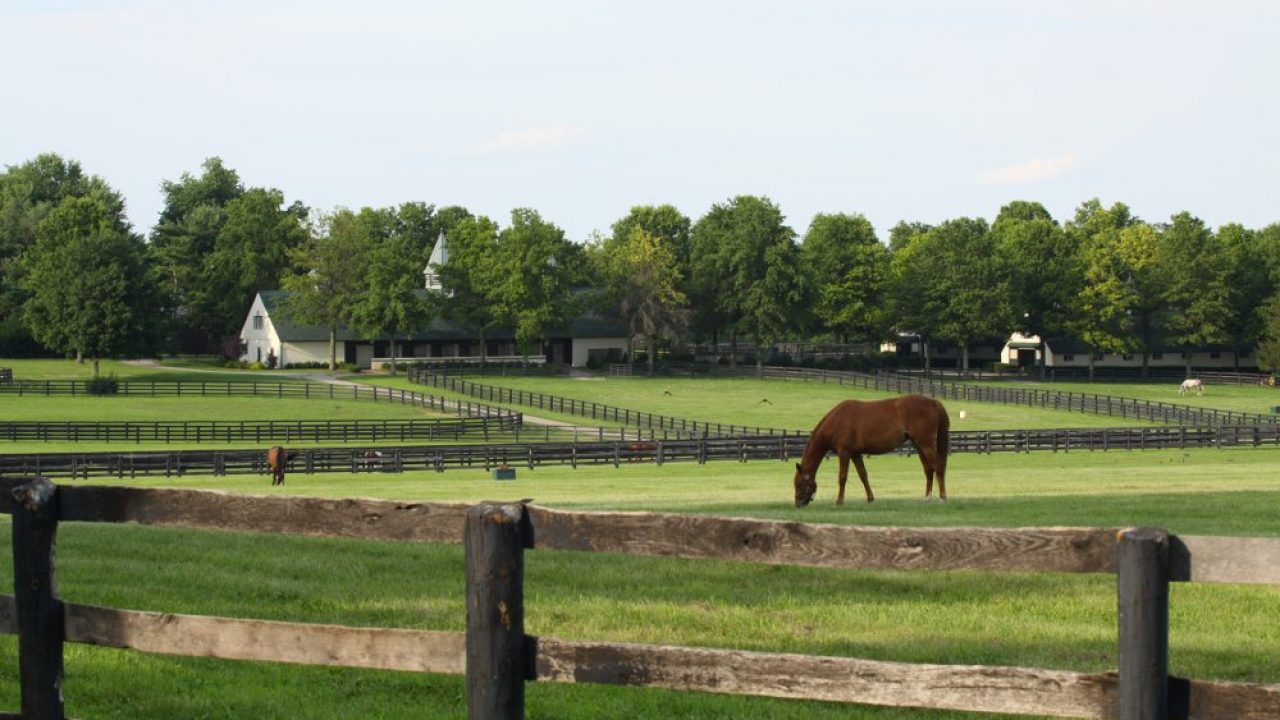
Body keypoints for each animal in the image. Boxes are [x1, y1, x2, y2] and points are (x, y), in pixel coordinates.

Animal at [793, 395, 950, 507]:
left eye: (799, 484)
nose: (798, 504)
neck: (837, 420)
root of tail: (933, 402)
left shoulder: (844, 452)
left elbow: (842, 477)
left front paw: (839, 502)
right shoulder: (855, 454)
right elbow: (863, 475)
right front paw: (870, 499)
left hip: (926, 444)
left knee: (937, 465)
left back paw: (943, 498)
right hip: (918, 444)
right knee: (928, 469)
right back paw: (927, 498)